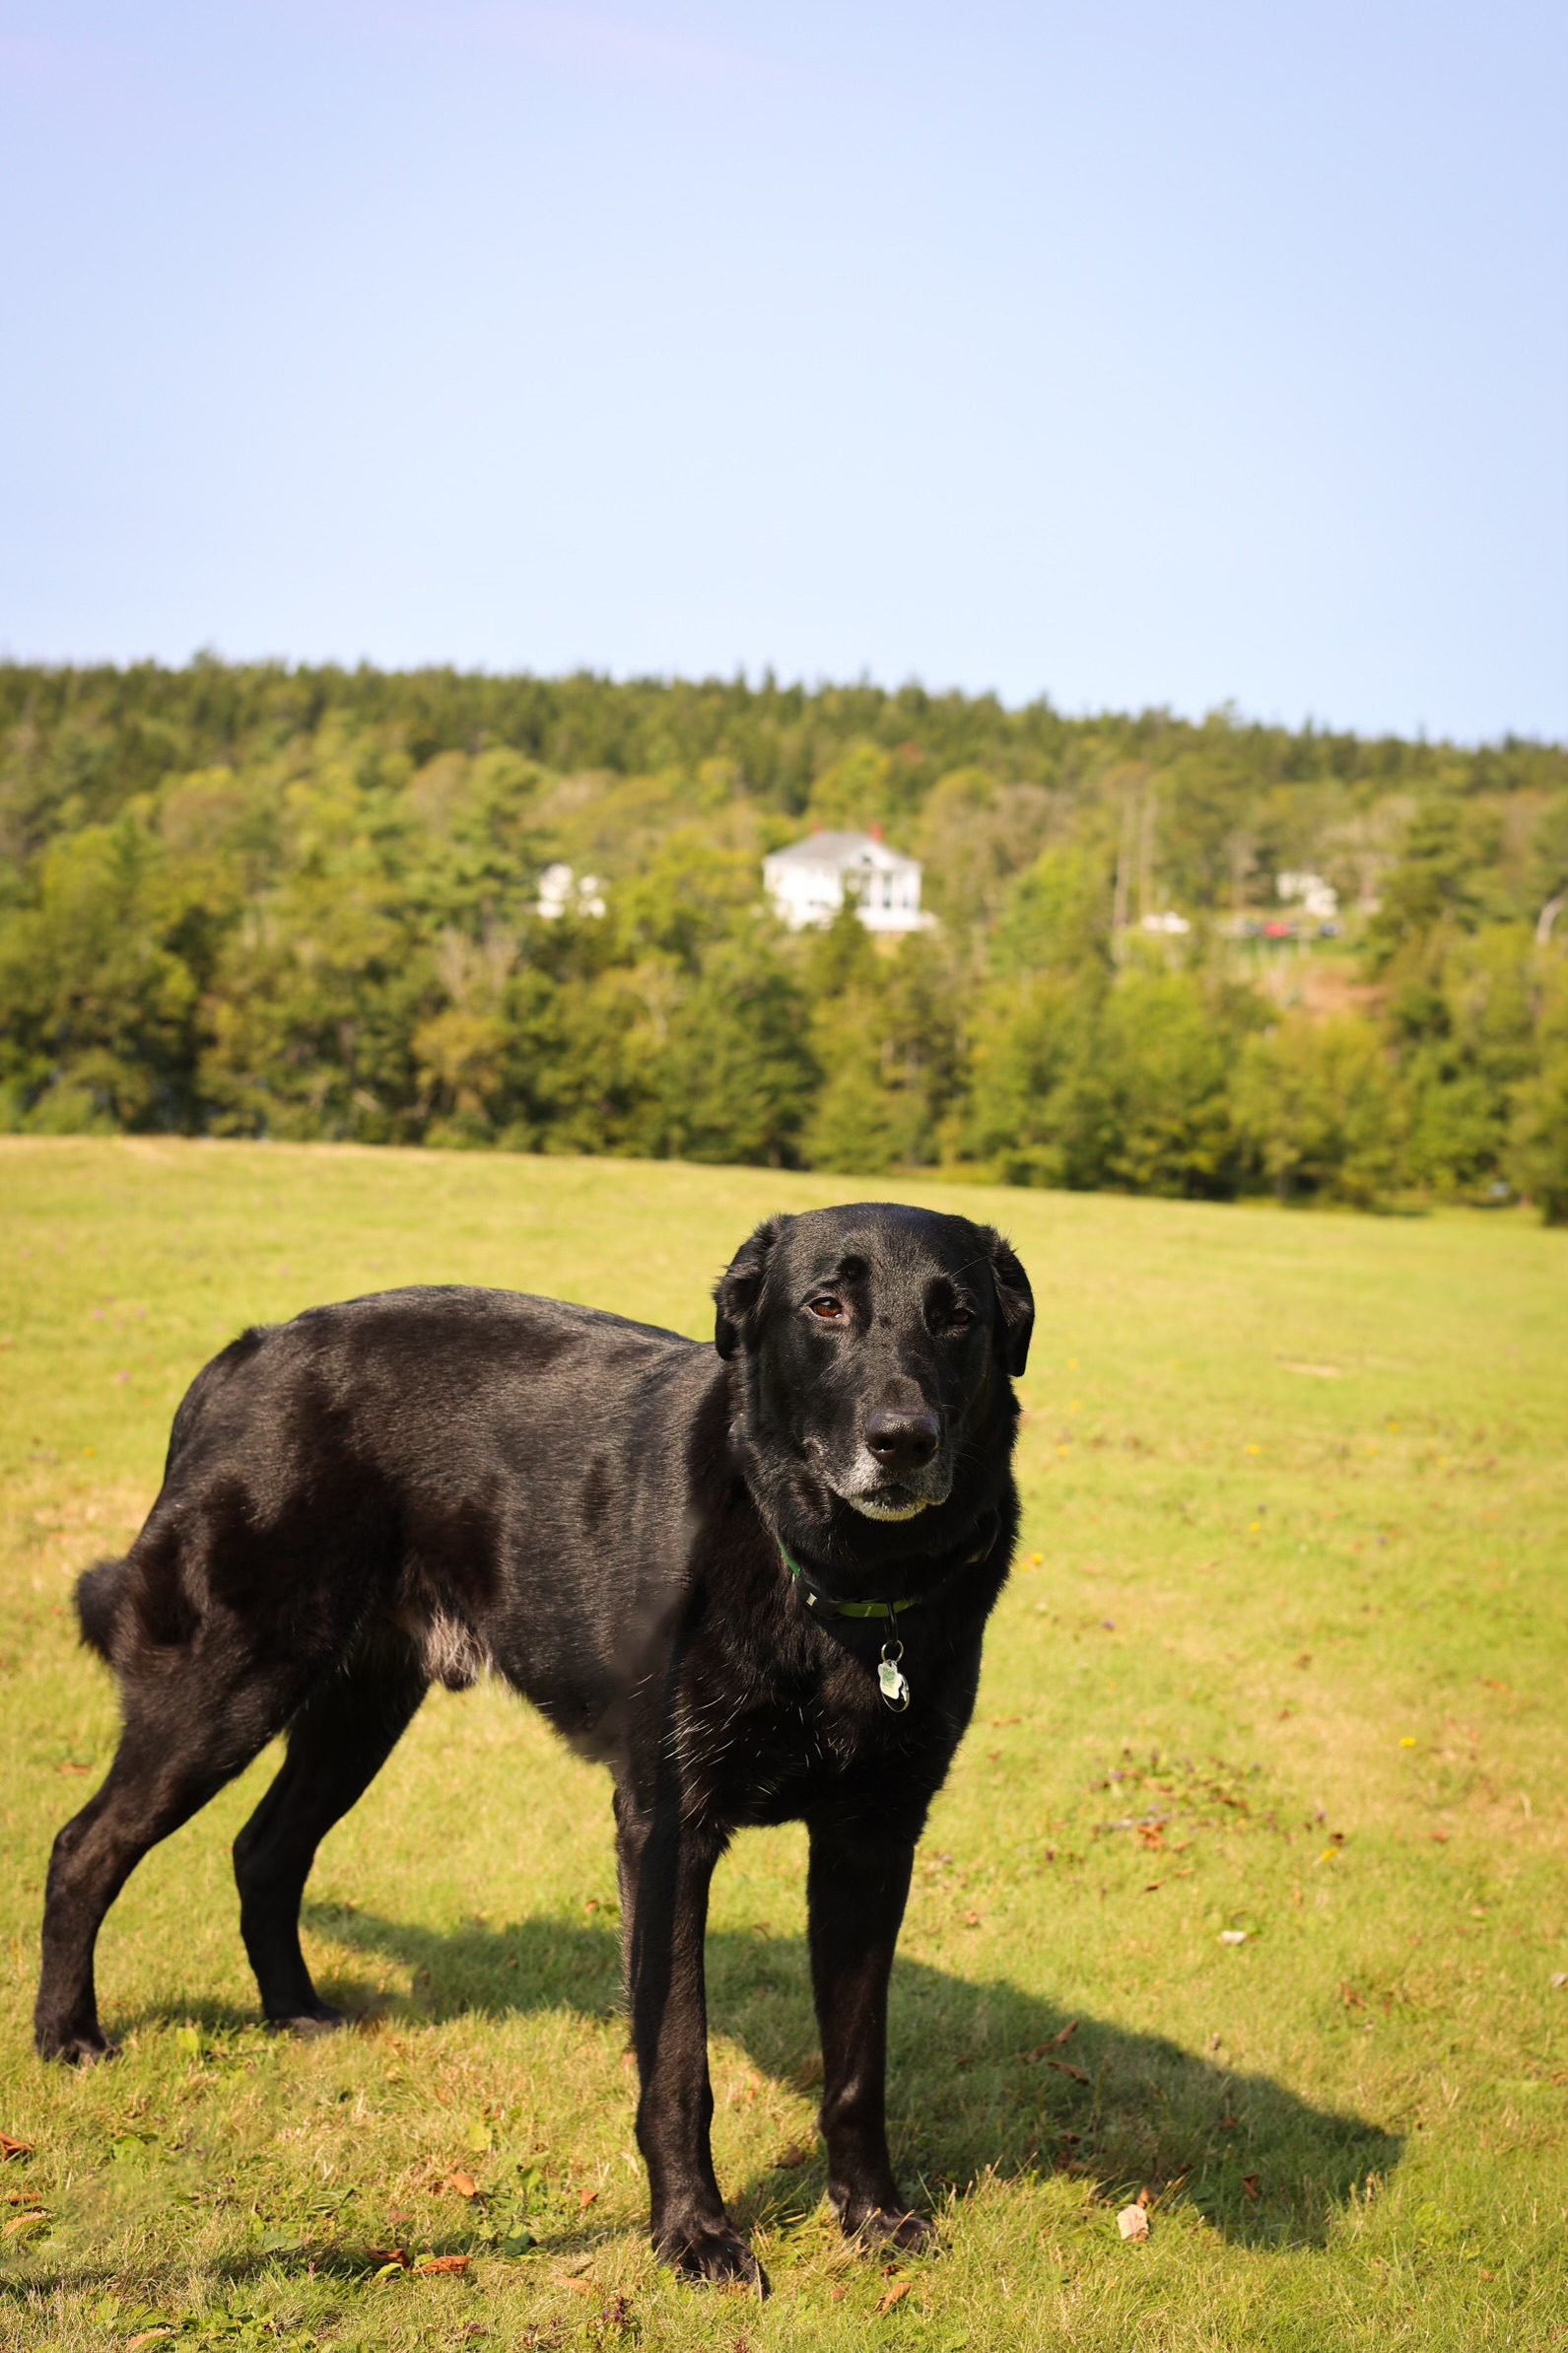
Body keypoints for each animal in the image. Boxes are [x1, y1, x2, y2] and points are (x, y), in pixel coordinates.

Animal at [37, 1202, 1032, 2290]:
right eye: (825, 1306)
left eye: (957, 1317)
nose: (903, 1440)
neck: (844, 1583)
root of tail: (243, 1353)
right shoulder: (667, 1828)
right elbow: (677, 2058)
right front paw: (692, 2232)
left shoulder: (872, 1839)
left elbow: (857, 2062)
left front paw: (872, 2216)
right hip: (223, 1691)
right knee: (85, 1845)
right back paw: (67, 2035)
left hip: (355, 1714)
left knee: (264, 1849)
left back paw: (295, 2011)